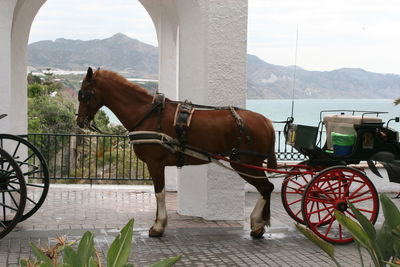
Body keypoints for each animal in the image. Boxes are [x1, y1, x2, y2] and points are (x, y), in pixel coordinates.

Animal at [76, 67, 276, 239]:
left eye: (83, 94)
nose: (80, 122)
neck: (147, 114)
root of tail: (265, 121)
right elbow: (159, 193)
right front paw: (159, 223)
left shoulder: (154, 163)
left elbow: (159, 193)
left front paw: (158, 226)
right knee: (266, 189)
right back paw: (259, 223)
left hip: (245, 163)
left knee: (266, 188)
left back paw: (257, 224)